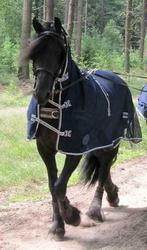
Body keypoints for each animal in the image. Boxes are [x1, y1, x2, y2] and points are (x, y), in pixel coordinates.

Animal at [25, 16, 142, 239]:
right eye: (34, 53)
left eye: (60, 52)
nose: (41, 93)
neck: (57, 107)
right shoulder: (44, 149)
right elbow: (52, 186)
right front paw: (58, 225)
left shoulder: (75, 148)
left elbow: (59, 186)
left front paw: (72, 215)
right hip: (100, 140)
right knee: (104, 165)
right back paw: (112, 195)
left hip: (111, 141)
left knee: (104, 167)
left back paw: (95, 209)